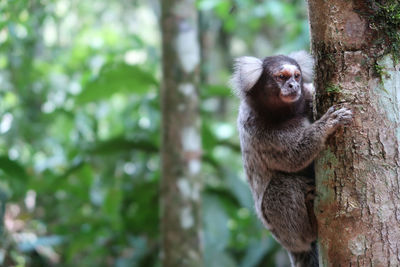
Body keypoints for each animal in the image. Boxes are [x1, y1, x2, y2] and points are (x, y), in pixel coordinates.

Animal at [230, 51, 352, 266]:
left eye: (296, 76)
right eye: (281, 77)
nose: (293, 86)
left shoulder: (309, 94)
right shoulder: (258, 131)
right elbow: (294, 155)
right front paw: (327, 124)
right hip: (280, 230)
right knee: (282, 184)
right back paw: (311, 224)